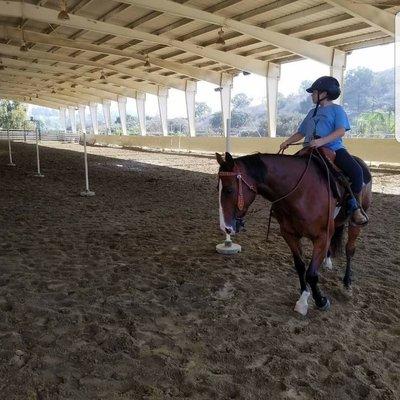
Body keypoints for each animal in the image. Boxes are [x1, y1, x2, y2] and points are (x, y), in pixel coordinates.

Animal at [216, 150, 372, 316]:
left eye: (229, 190)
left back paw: (347, 284)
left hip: (356, 222)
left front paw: (321, 301)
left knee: (350, 250)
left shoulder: (322, 237)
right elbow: (300, 266)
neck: (300, 192)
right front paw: (303, 299)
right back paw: (327, 261)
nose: (225, 227)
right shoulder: (289, 235)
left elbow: (311, 274)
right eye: (218, 188)